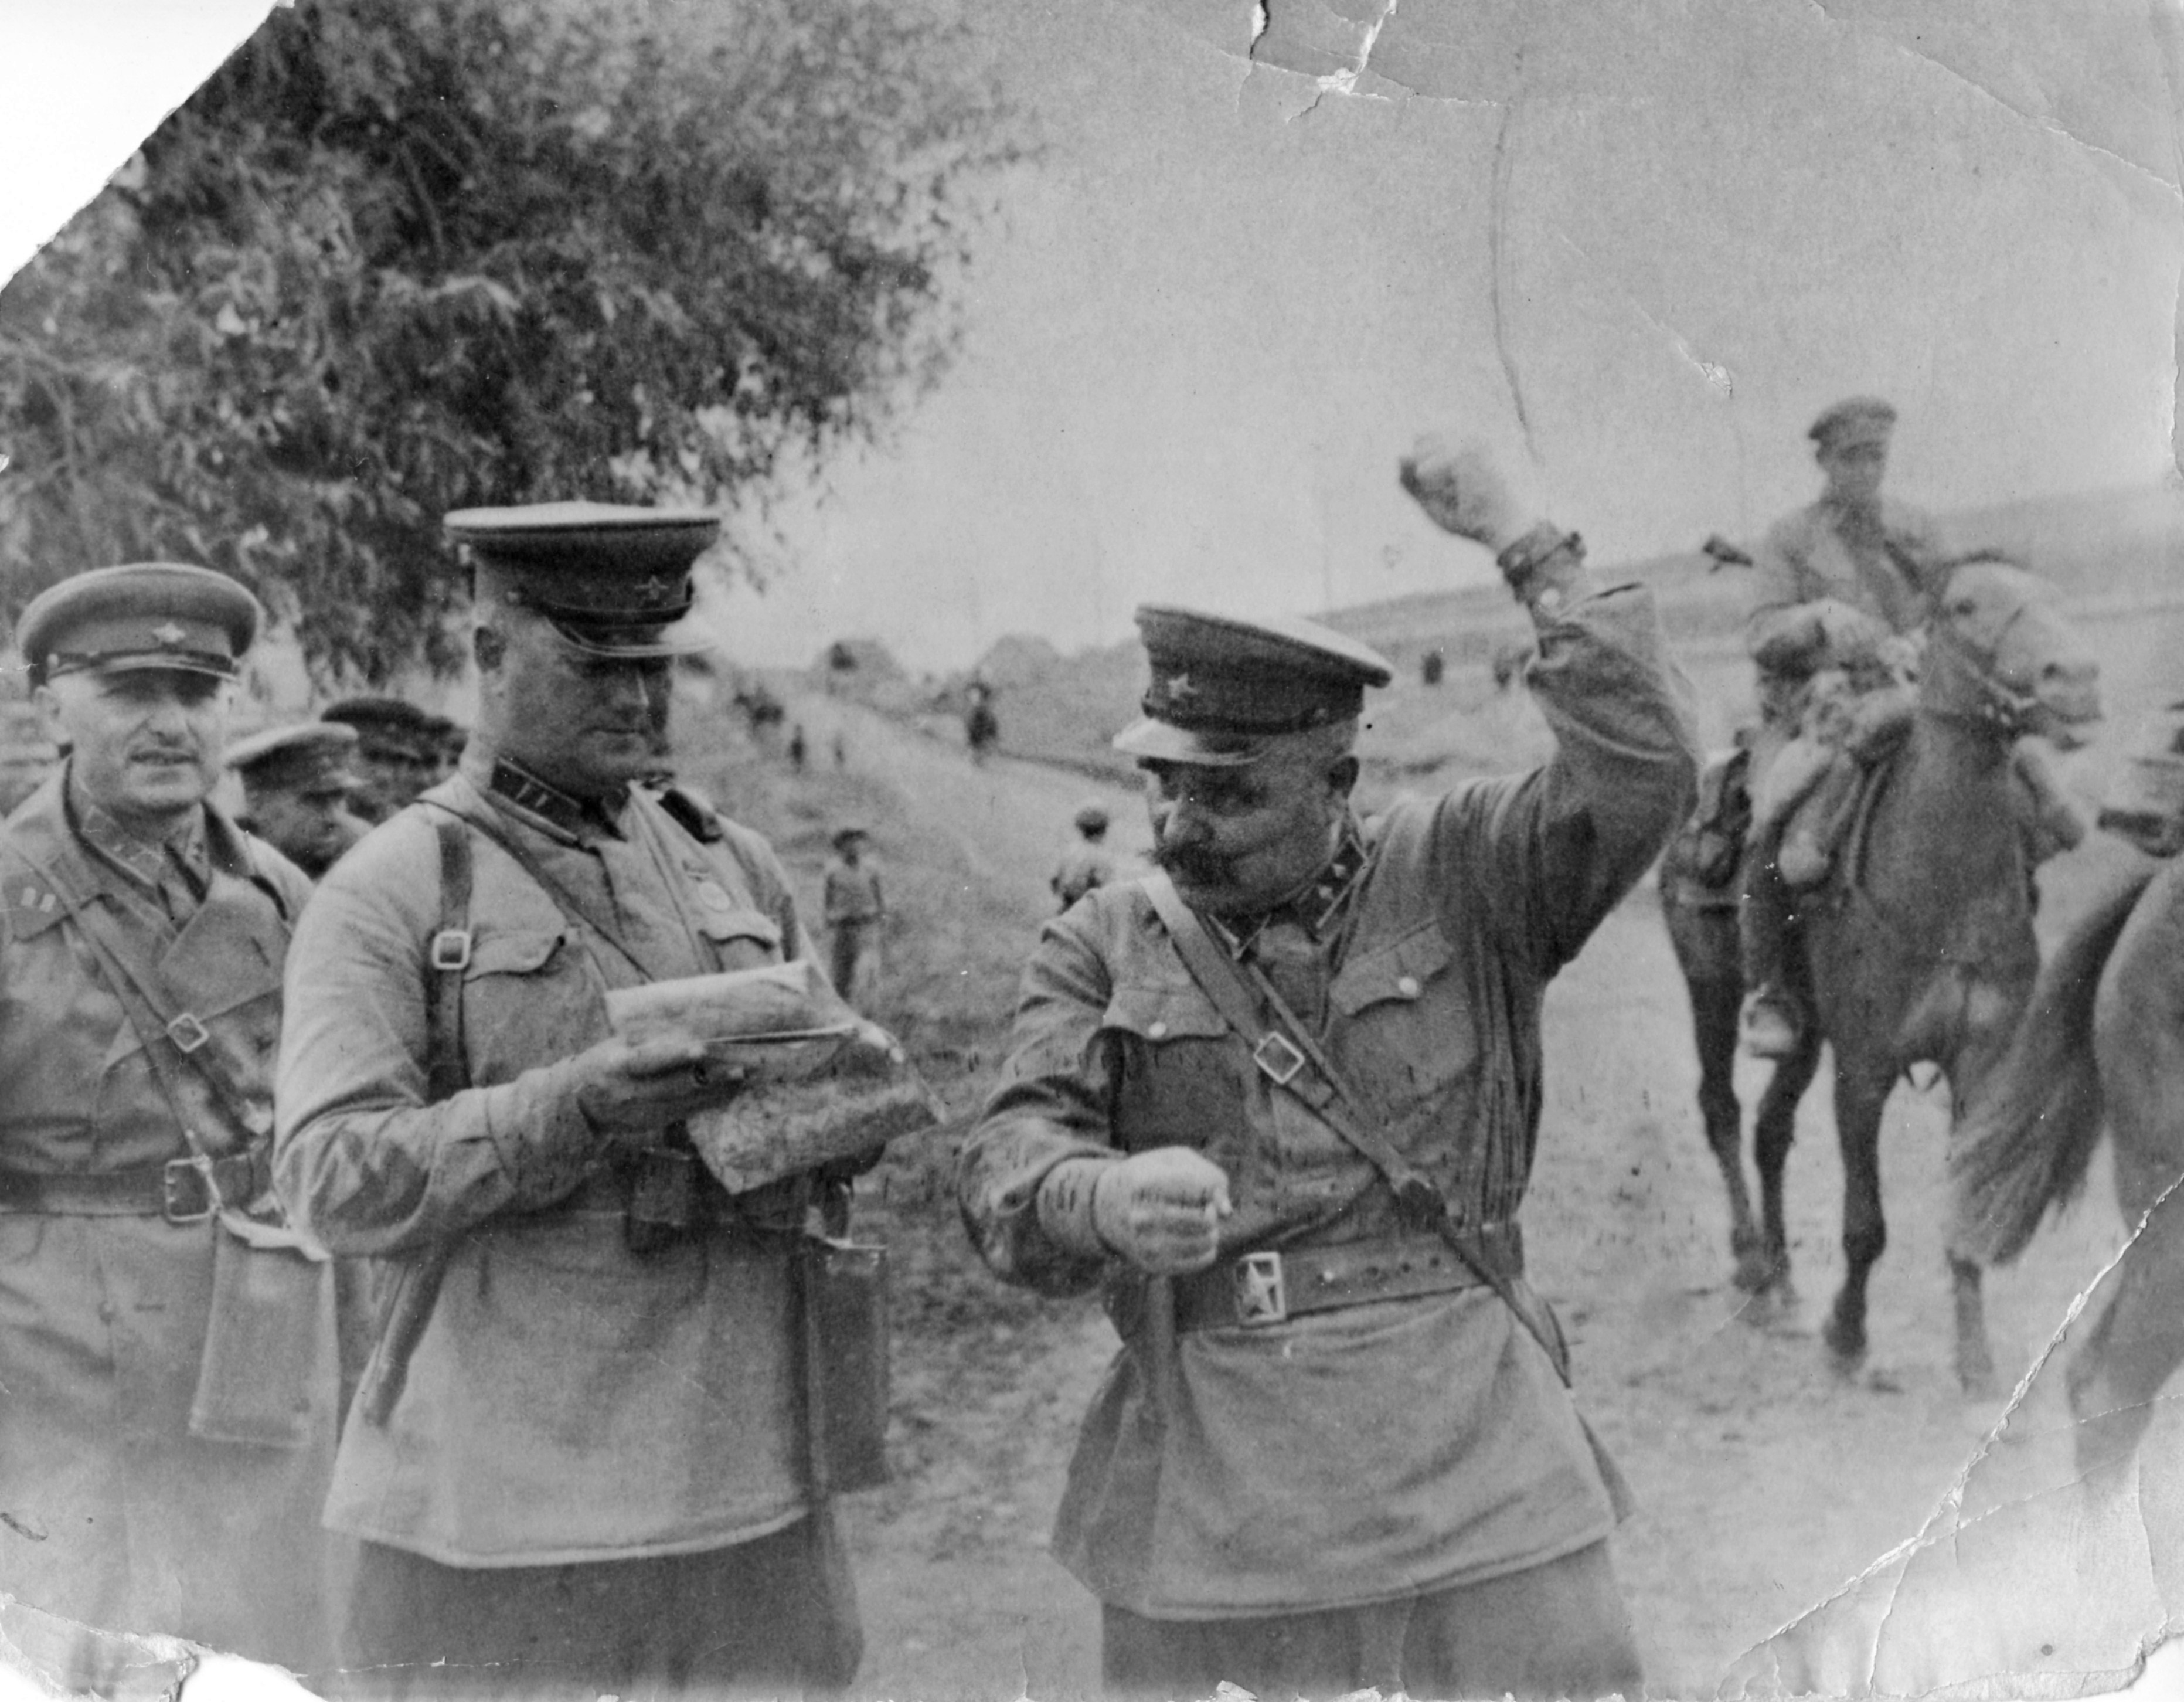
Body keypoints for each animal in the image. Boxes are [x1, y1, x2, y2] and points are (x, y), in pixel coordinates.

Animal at [1659, 563, 2105, 1390]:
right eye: (1964, 605)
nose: (2079, 678)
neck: (1944, 884)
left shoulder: (1982, 1066)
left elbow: (1962, 1213)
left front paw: (1976, 1361)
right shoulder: (1864, 1070)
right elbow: (1865, 1222)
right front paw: (1848, 1334)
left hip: (1805, 1031)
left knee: (1771, 1129)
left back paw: (1782, 1279)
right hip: (1712, 988)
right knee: (1722, 1111)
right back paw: (1753, 1267)